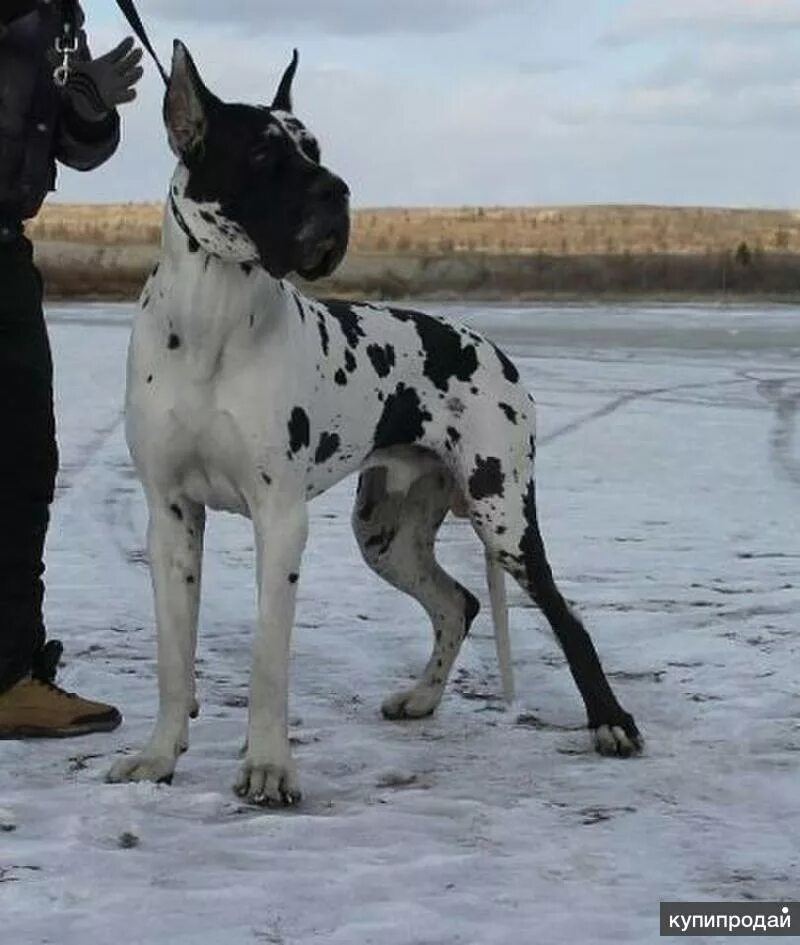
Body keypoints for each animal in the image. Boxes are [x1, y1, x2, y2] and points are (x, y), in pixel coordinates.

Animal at [108, 40, 644, 800]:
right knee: (458, 603)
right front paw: (159, 755)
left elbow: (269, 659)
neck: (212, 314)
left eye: (315, 148)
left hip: (504, 513)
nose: (338, 191)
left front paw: (268, 766)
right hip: (386, 532)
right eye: (265, 154)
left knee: (566, 617)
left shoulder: (281, 519)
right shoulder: (171, 514)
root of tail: (495, 350)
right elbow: (173, 654)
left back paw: (611, 723)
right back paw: (422, 697)